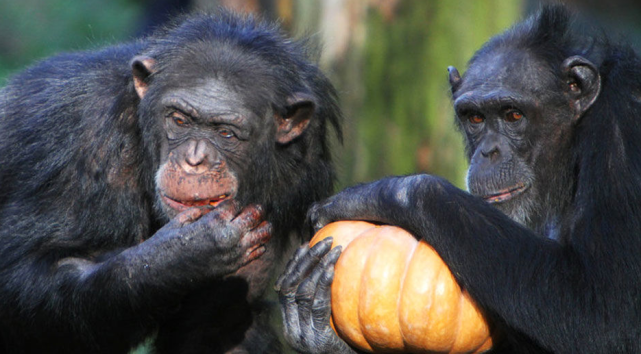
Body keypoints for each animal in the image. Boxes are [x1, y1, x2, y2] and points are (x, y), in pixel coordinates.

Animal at [0, 11, 340, 354]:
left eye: (226, 133)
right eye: (179, 120)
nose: (195, 159)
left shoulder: (285, 184)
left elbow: (219, 325)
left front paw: (317, 326)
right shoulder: (82, 137)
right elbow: (32, 274)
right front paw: (184, 252)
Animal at [276, 5, 641, 354]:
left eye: (513, 115)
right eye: (475, 118)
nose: (488, 152)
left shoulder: (623, 127)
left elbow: (603, 307)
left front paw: (375, 194)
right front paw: (321, 335)